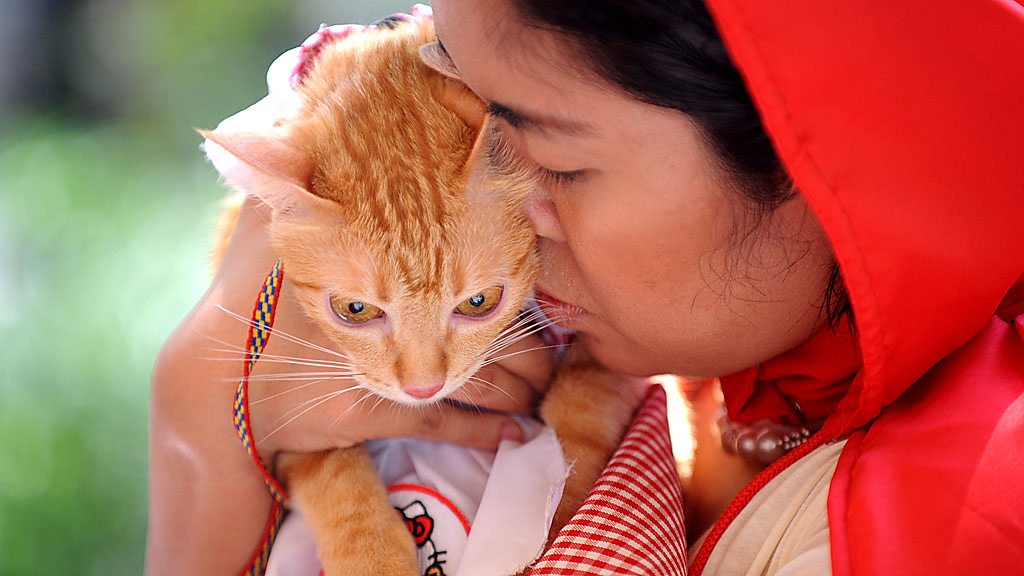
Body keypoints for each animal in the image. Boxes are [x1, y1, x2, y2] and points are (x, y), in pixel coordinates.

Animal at [205, 18, 640, 575]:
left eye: (479, 302)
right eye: (355, 310)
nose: (423, 387)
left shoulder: (607, 342)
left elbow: (580, 424)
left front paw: (553, 519)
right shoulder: (290, 428)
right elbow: (335, 480)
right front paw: (373, 558)